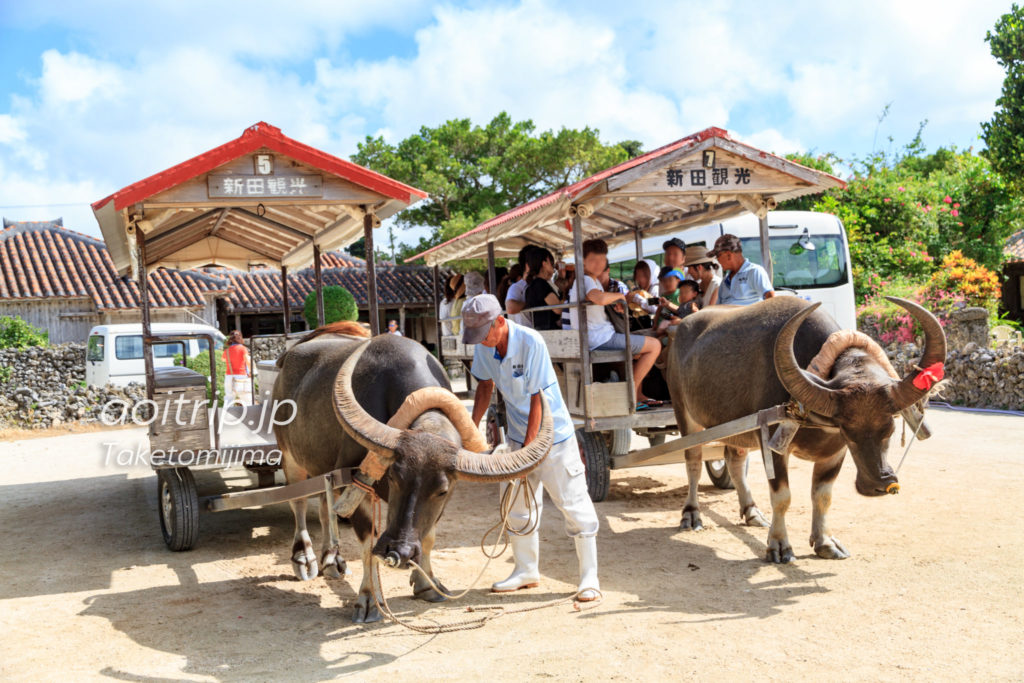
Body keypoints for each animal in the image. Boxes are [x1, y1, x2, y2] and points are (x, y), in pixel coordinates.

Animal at [274, 333, 552, 622]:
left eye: (442, 490)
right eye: (394, 478)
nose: (399, 552)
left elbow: (428, 537)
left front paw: (427, 584)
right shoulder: (355, 483)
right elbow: (367, 542)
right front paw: (369, 599)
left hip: (321, 465)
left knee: (324, 505)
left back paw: (331, 560)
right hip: (290, 457)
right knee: (299, 503)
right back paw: (304, 558)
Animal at [663, 296, 942, 565]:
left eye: (890, 429)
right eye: (847, 430)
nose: (882, 482)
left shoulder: (834, 454)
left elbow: (823, 496)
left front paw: (825, 542)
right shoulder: (774, 444)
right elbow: (782, 497)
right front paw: (778, 545)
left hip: (735, 428)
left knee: (735, 461)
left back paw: (752, 511)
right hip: (685, 415)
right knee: (694, 463)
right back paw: (692, 515)